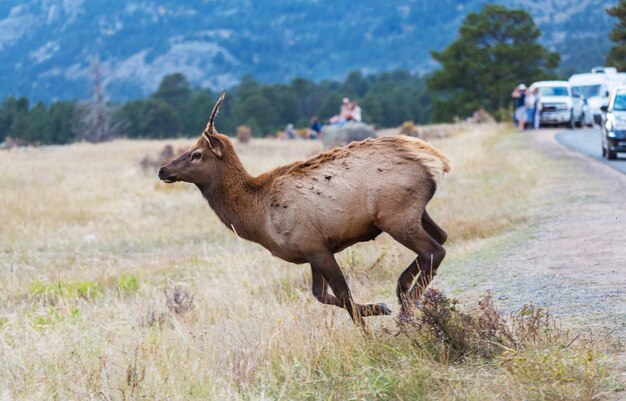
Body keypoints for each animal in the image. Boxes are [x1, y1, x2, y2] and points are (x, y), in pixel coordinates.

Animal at [157, 92, 448, 326]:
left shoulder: (315, 245)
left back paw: (406, 308)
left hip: (396, 216)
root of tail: (435, 160)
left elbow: (343, 294)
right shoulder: (311, 249)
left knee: (435, 250)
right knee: (441, 238)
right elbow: (322, 295)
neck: (258, 218)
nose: (162, 170)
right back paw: (402, 291)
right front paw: (378, 307)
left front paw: (368, 331)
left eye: (196, 154)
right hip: (414, 213)